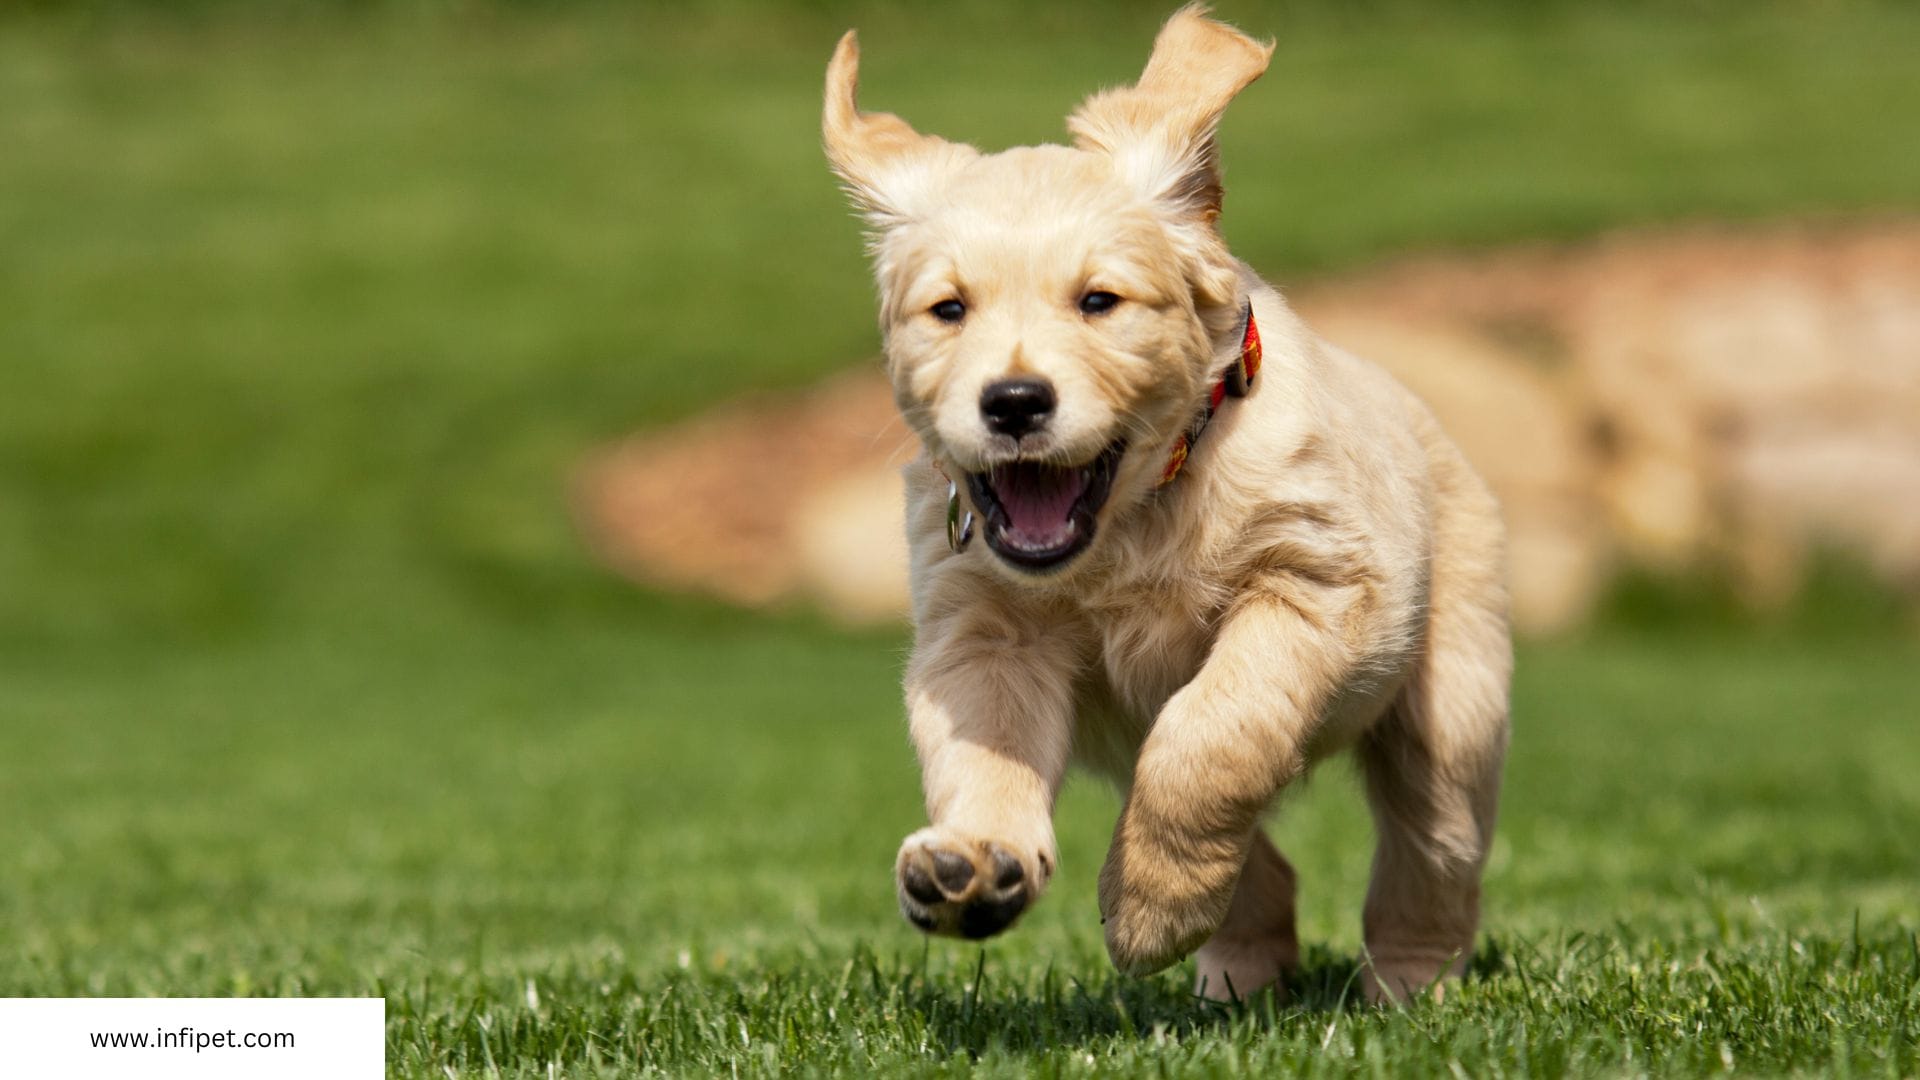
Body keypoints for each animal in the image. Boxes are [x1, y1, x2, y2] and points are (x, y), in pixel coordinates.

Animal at [825, 4, 1512, 1006]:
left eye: (1099, 301)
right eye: (949, 310)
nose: (1014, 402)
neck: (1137, 516)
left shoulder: (1316, 587)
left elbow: (1213, 733)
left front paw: (1150, 910)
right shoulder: (984, 634)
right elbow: (988, 752)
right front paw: (975, 863)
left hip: (1452, 702)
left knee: (1433, 850)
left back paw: (1408, 988)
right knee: (1265, 864)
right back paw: (1238, 969)